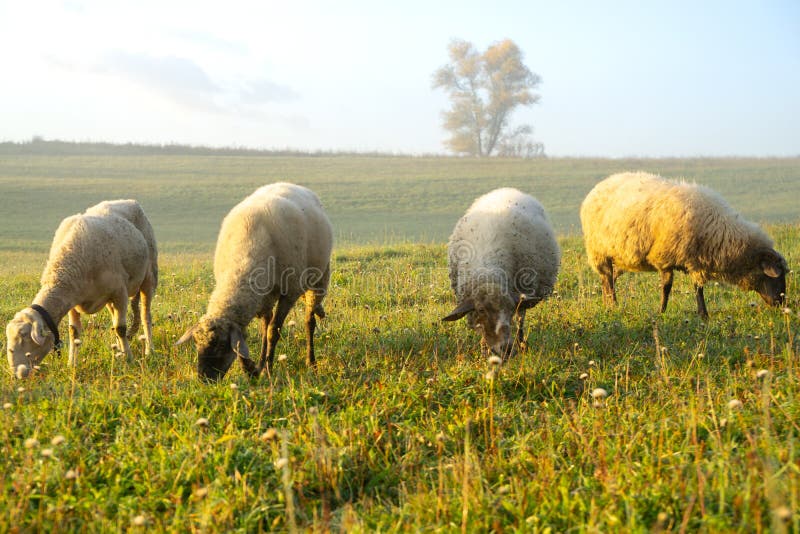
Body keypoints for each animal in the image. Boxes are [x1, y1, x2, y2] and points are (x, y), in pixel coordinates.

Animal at [7, 199, 159, 374]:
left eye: (24, 337)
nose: (17, 374)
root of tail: (128, 201)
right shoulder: (72, 300)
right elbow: (74, 332)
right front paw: (71, 363)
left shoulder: (120, 291)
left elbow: (120, 327)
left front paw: (129, 359)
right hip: (110, 300)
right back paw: (120, 349)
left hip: (149, 276)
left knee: (145, 315)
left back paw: (149, 350)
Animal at [177, 183, 332, 382]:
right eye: (196, 344)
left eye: (221, 345)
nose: (205, 380)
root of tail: (288, 183)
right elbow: (249, 337)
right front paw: (251, 369)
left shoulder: (290, 292)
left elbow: (274, 331)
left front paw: (267, 370)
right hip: (266, 295)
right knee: (266, 322)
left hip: (319, 278)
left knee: (308, 321)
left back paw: (310, 362)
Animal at [440, 188, 560, 360]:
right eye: (481, 310)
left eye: (510, 309)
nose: (507, 349)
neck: (487, 270)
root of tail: (508, 190)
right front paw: (484, 352)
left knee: (521, 320)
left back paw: (521, 343)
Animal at [580, 174, 788, 320]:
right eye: (776, 276)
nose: (781, 303)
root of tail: (599, 186)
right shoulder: (664, 257)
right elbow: (666, 287)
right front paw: (662, 311)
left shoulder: (695, 261)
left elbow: (698, 288)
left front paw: (703, 314)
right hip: (599, 252)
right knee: (608, 279)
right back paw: (613, 305)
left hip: (620, 257)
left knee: (609, 279)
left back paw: (607, 302)